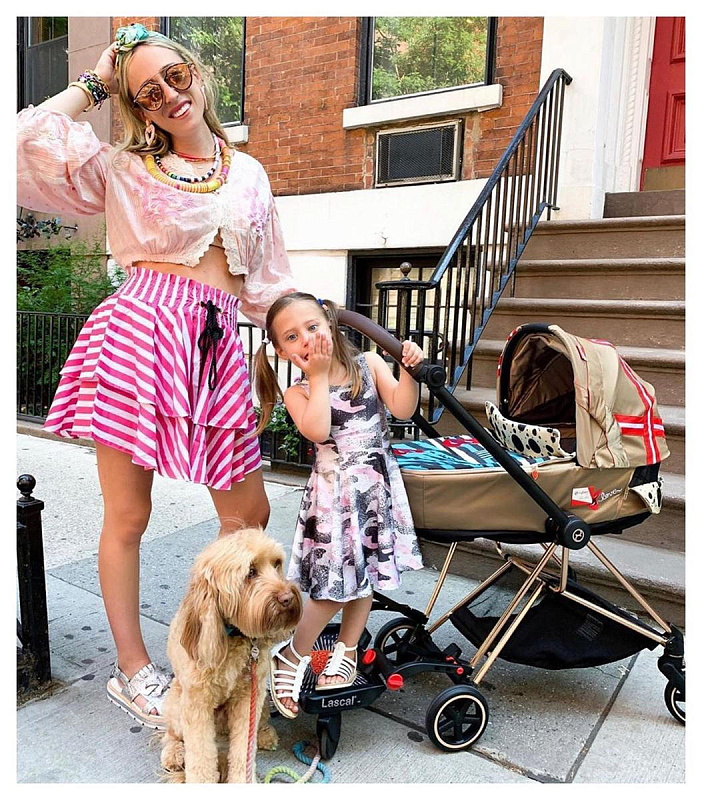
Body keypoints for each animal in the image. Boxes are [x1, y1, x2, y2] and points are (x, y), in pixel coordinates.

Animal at [159, 528, 302, 783]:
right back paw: (174, 754)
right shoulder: (197, 704)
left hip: (261, 698)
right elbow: (201, 754)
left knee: (258, 724)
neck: (234, 635)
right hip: (176, 703)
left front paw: (243, 780)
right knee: (172, 735)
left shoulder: (247, 698)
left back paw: (264, 734)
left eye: (277, 564)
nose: (287, 598)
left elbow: (243, 749)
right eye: (251, 572)